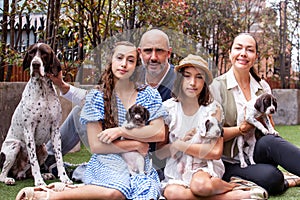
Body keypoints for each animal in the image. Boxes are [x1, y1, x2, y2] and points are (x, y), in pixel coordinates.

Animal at [0, 43, 72, 186]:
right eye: (31, 53)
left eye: (44, 53)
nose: (35, 64)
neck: (42, 88)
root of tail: (18, 173)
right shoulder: (29, 130)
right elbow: (34, 162)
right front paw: (39, 182)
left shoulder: (55, 130)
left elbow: (59, 158)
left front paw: (64, 178)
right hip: (14, 146)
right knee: (2, 174)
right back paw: (8, 179)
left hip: (43, 149)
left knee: (26, 173)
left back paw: (45, 175)